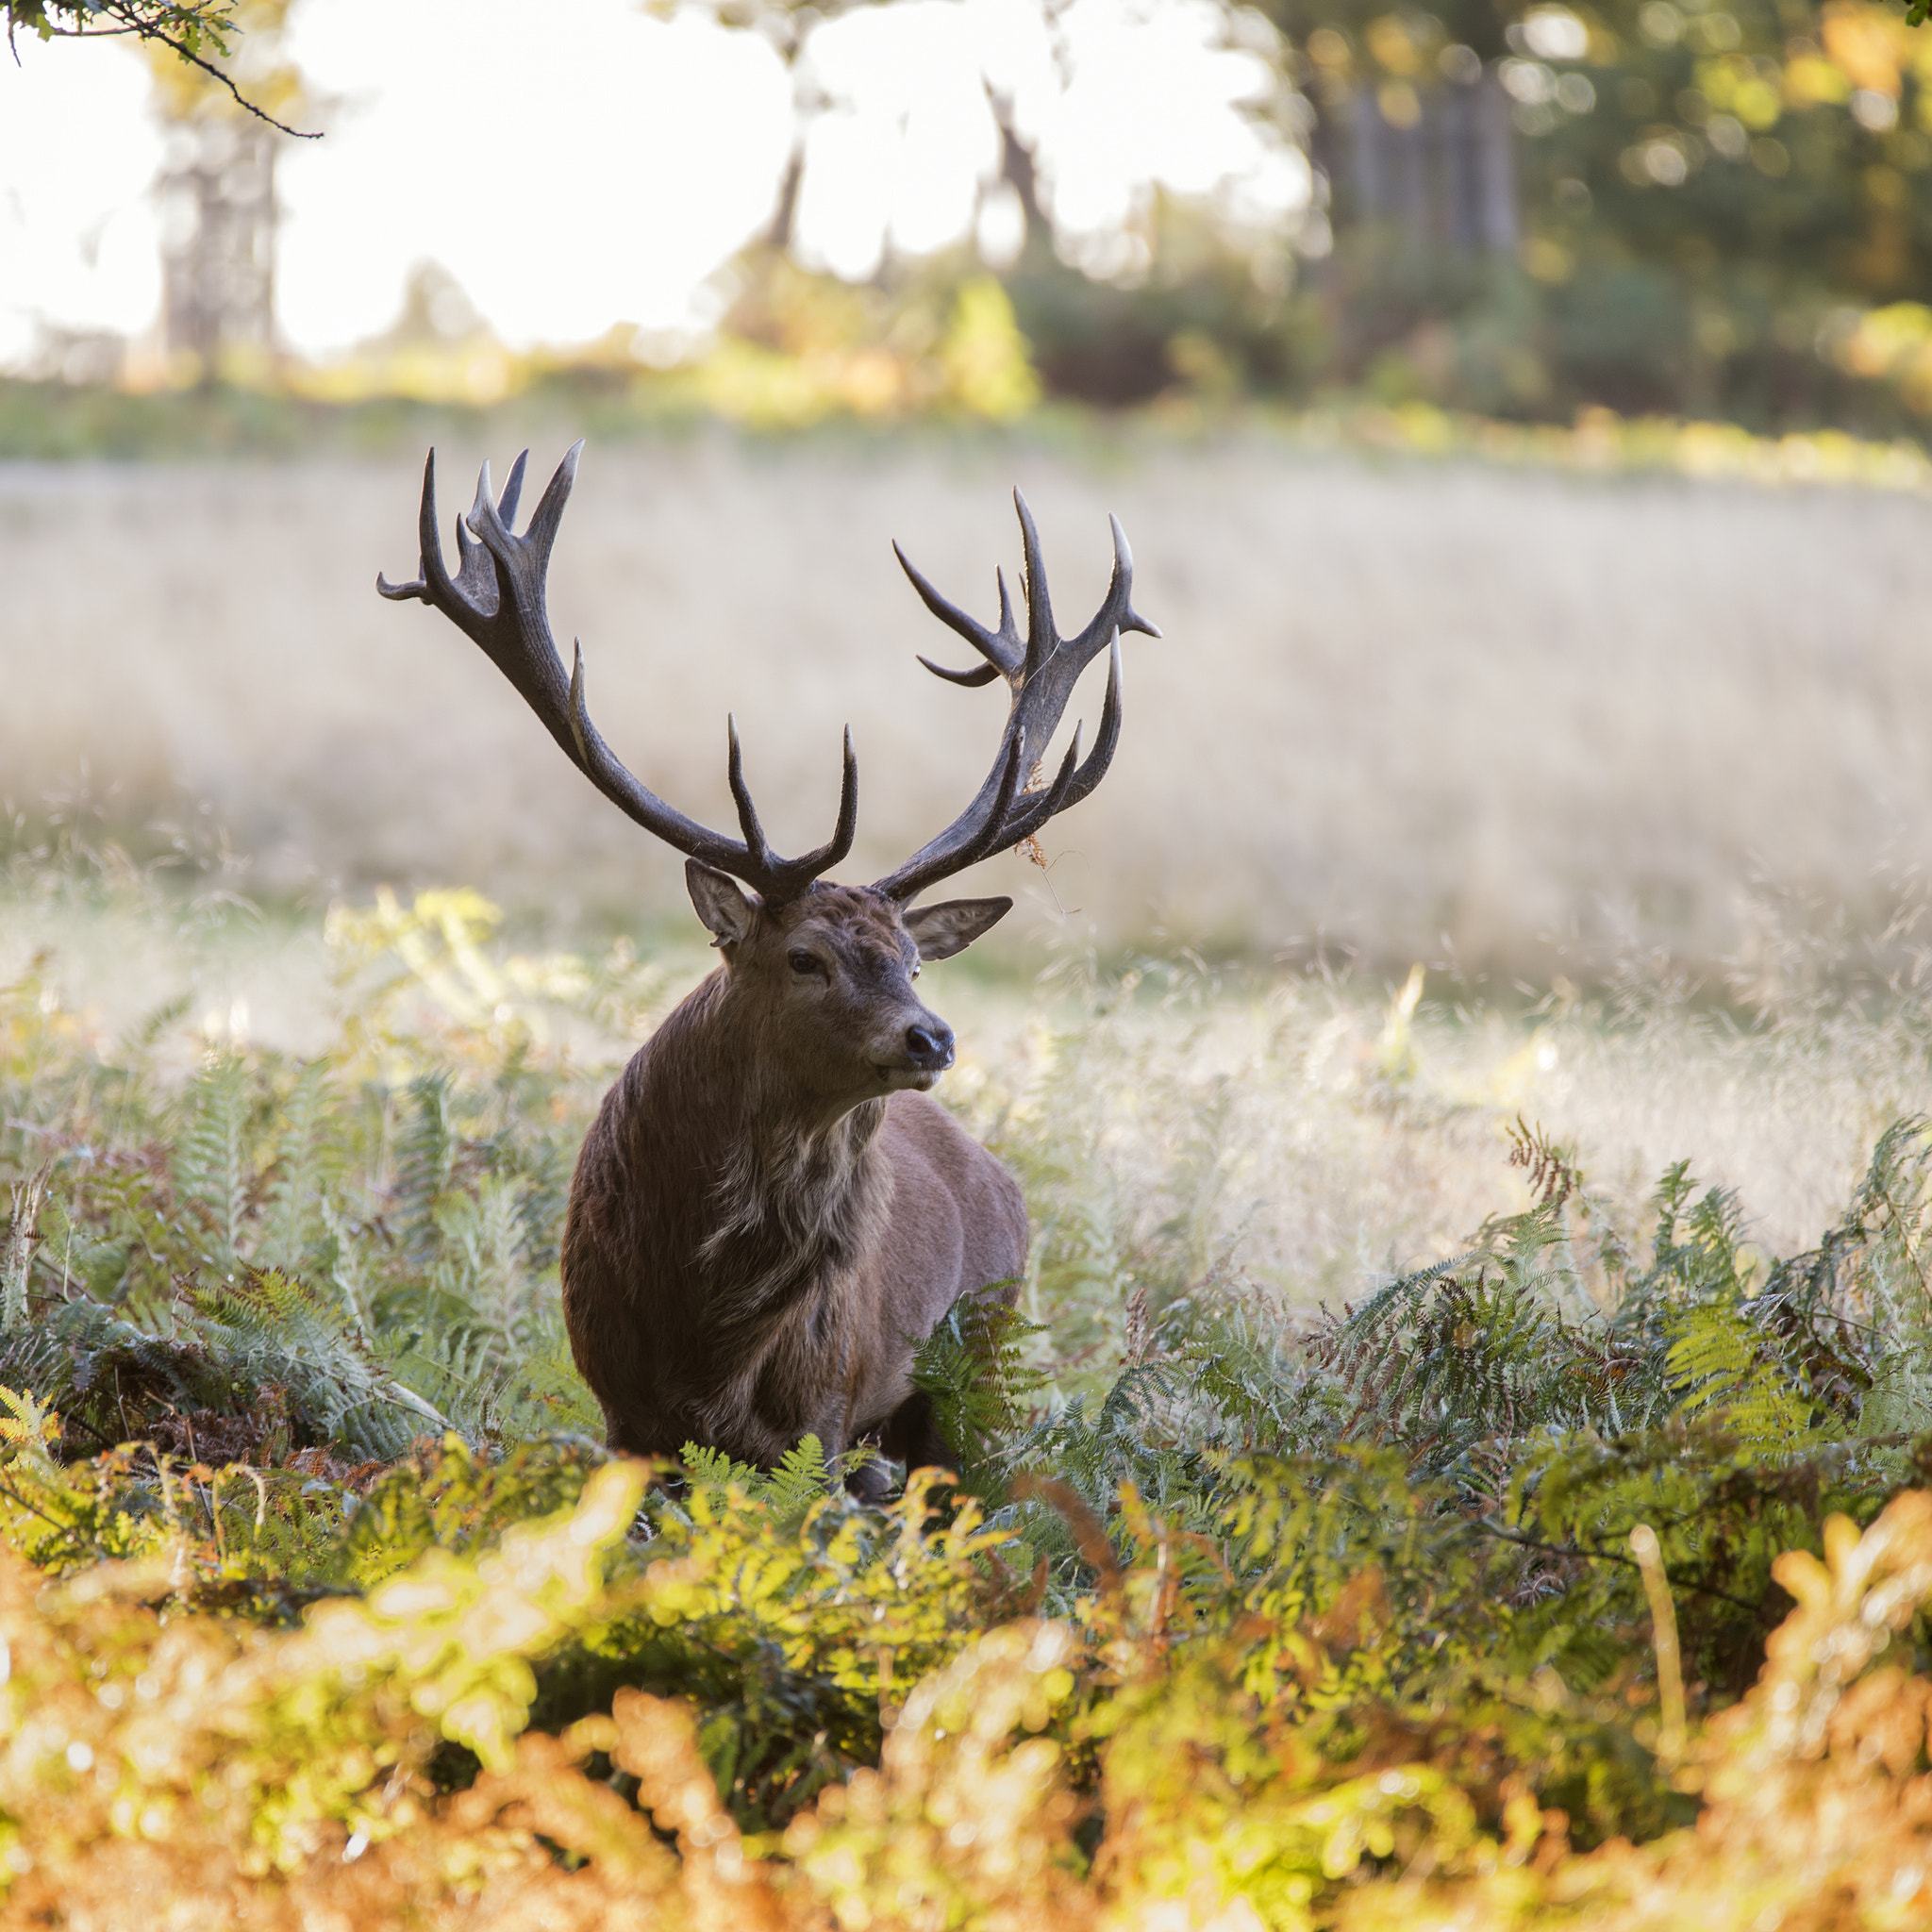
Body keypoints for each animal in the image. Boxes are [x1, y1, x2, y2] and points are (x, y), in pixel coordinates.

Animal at [378, 443, 1159, 1494]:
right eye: (803, 956)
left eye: (913, 961)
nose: (931, 1036)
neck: (704, 1325)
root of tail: (1001, 1175)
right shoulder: (620, 1408)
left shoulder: (819, 1418)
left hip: (980, 1358)